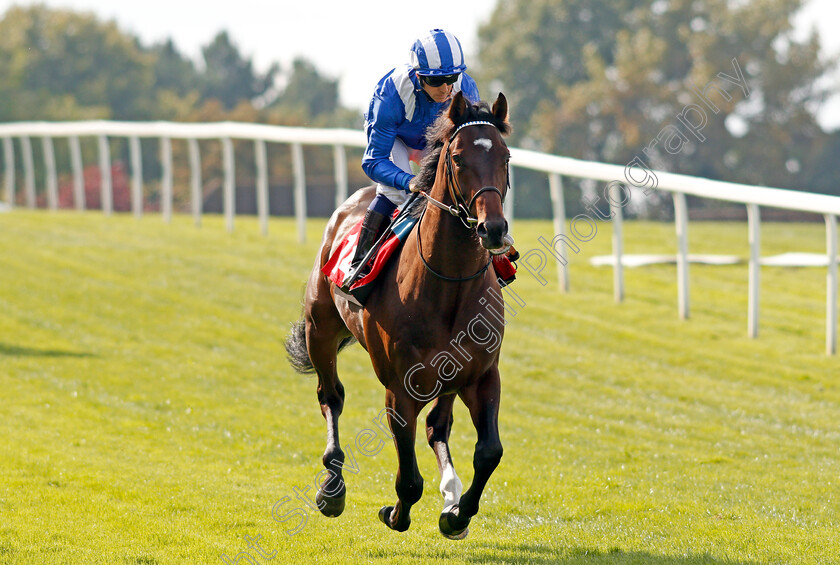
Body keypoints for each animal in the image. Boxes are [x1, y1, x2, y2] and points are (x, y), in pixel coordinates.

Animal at [288, 91, 512, 536]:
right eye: (458, 158)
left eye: (506, 156)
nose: (492, 228)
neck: (448, 286)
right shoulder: (400, 387)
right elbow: (408, 478)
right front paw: (396, 513)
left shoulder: (481, 375)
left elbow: (489, 452)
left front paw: (458, 514)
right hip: (319, 329)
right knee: (330, 396)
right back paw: (332, 487)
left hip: (450, 376)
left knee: (438, 426)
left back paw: (451, 492)